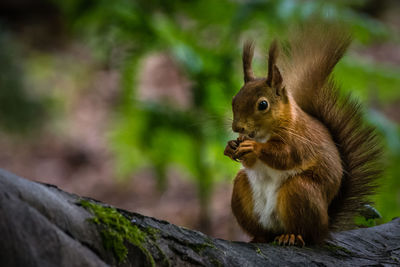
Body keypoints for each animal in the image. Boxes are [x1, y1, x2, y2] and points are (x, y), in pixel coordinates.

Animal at [223, 24, 382, 247]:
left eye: (263, 104)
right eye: (234, 99)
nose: (238, 128)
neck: (265, 133)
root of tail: (325, 226)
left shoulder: (300, 141)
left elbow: (285, 156)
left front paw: (254, 147)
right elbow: (250, 162)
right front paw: (231, 146)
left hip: (299, 192)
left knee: (305, 233)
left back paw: (291, 236)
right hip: (242, 189)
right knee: (262, 230)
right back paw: (259, 237)